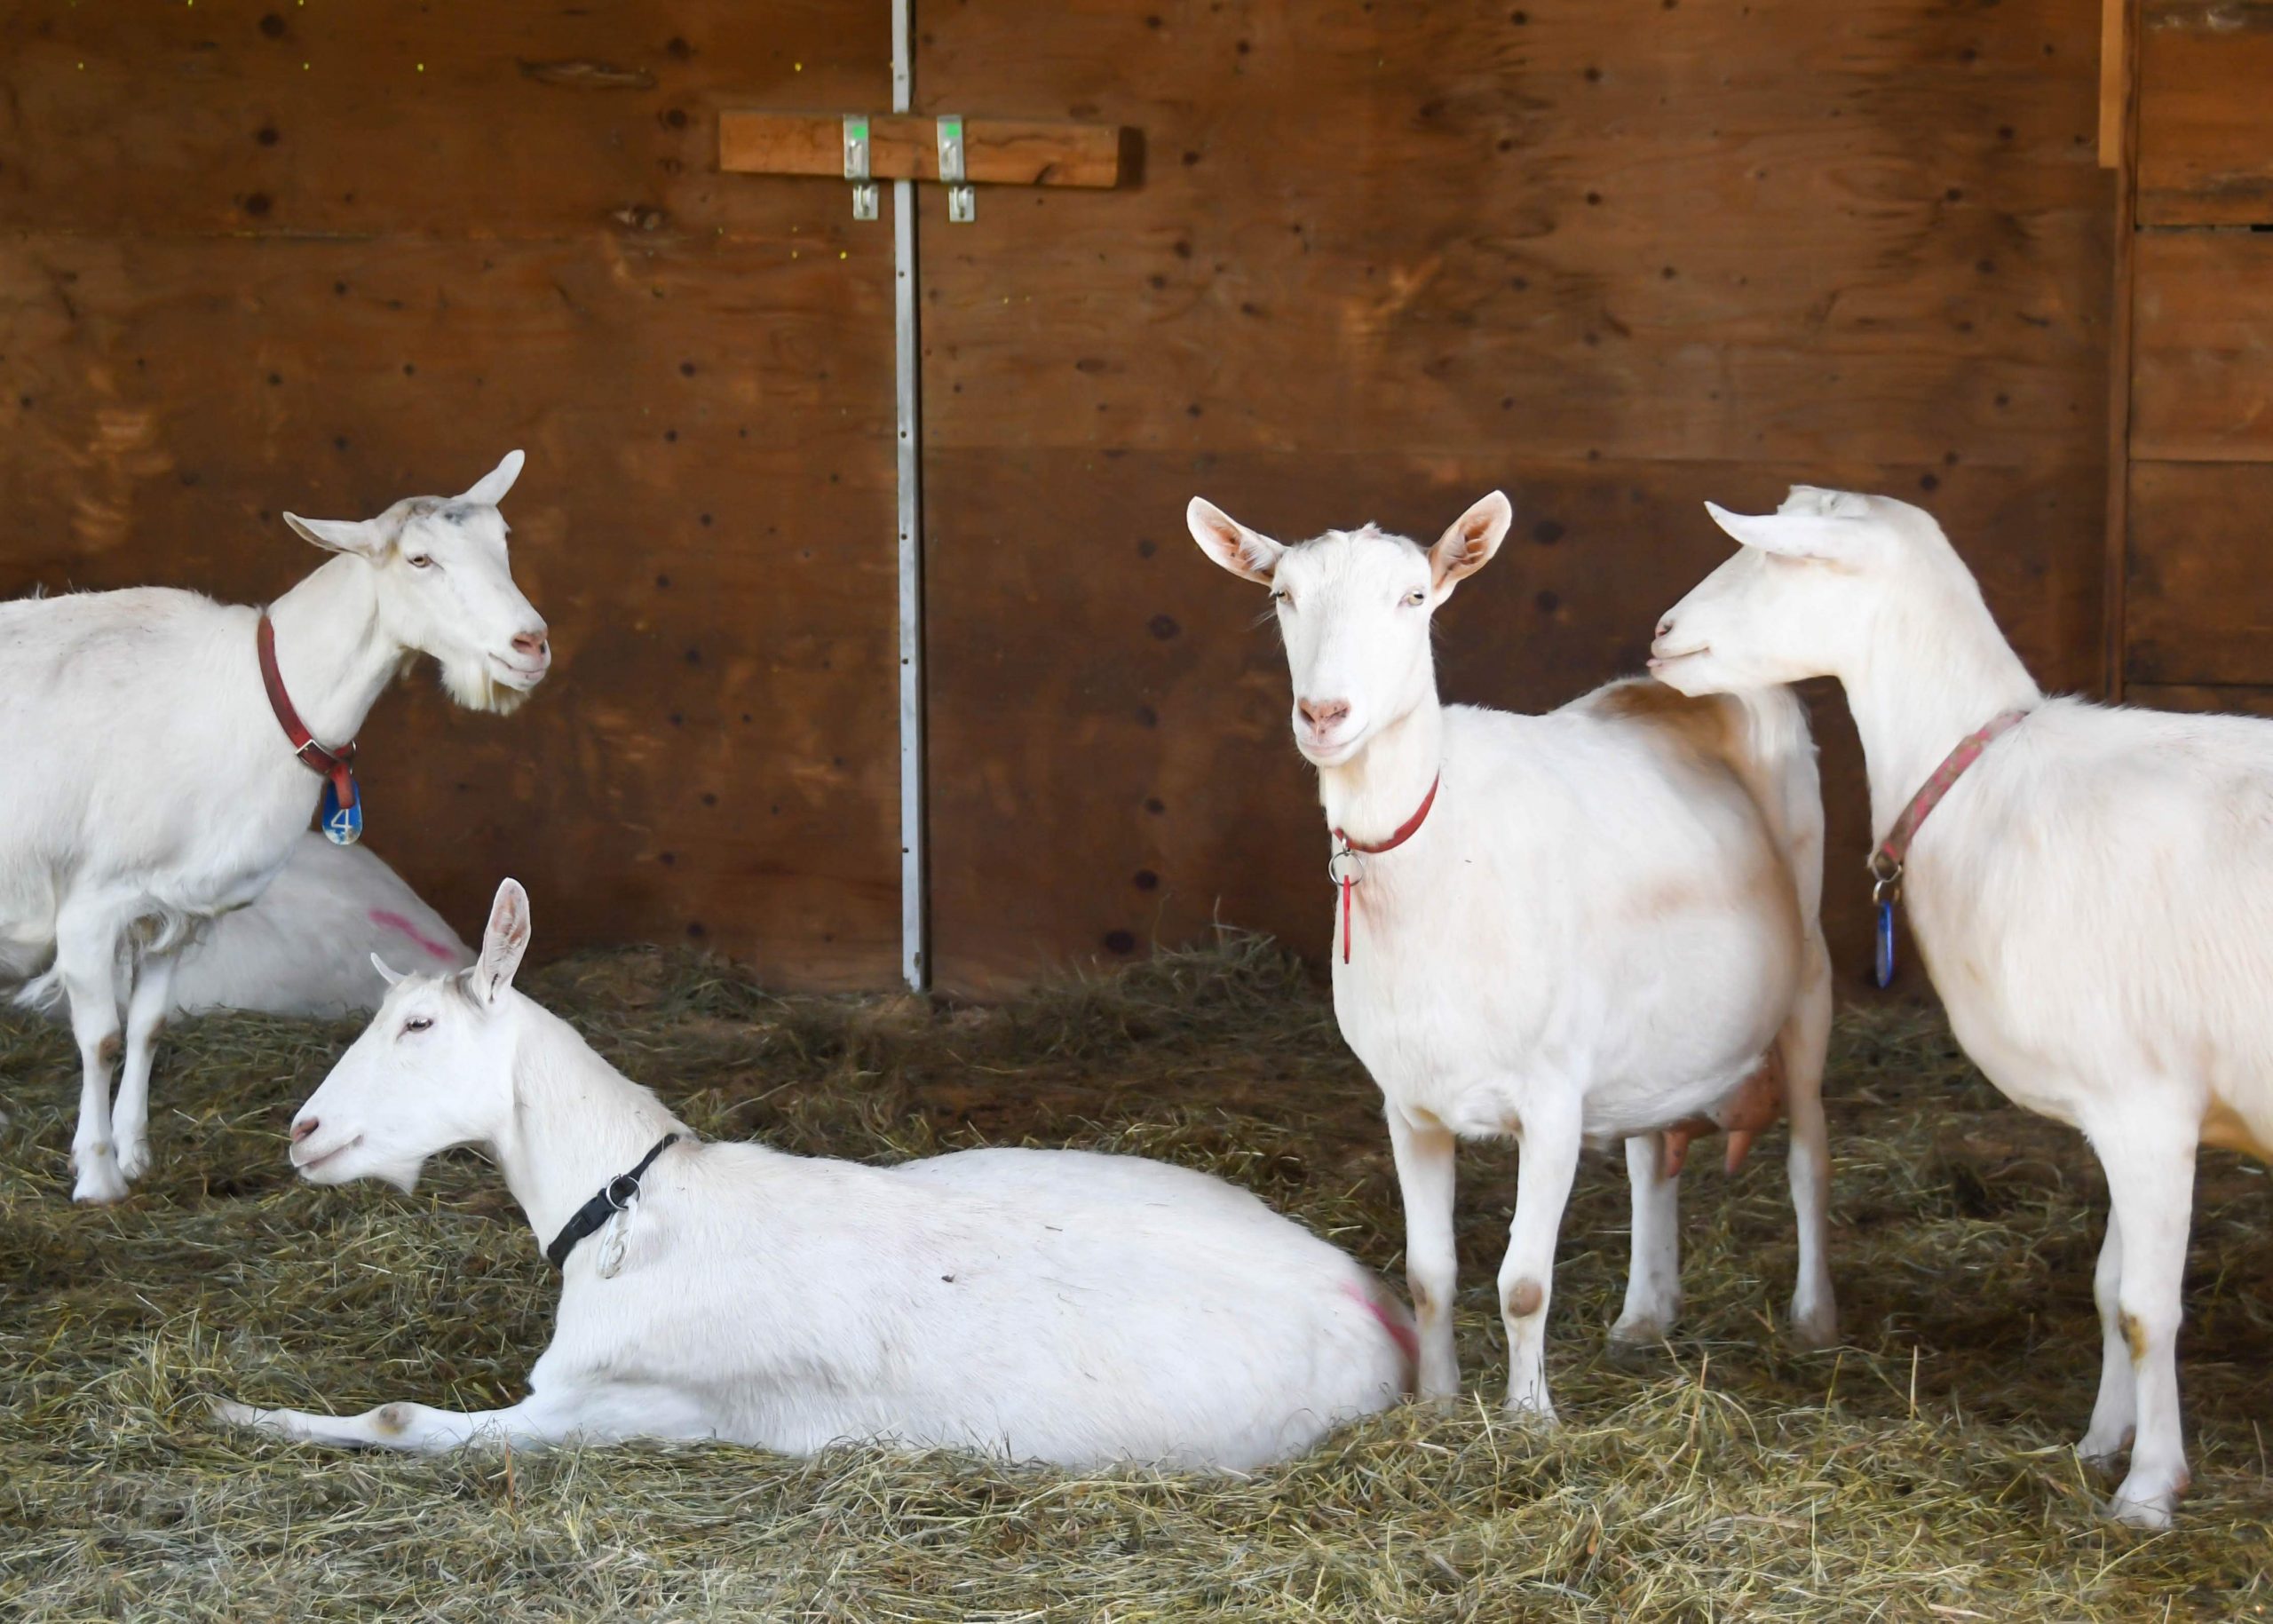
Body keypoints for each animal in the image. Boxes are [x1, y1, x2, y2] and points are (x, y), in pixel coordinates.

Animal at [1, 448, 550, 1192]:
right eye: (419, 559)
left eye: (504, 541)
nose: (531, 644)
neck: (252, 696)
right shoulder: (91, 905)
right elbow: (103, 1038)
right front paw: (98, 1177)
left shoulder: (174, 909)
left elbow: (146, 1029)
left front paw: (136, 1154)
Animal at [217, 877, 1418, 1464]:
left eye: (418, 1023)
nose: (304, 1129)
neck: (636, 1203)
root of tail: (1384, 1310)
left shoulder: (614, 1402)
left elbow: (398, 1420)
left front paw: (244, 1412)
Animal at [1182, 493, 1836, 1419]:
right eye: (1282, 597)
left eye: (1415, 597)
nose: (1325, 715)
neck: (1442, 853)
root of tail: (1673, 685)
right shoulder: (1408, 1101)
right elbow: (1429, 1273)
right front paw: (1437, 1403)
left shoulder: (1552, 1098)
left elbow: (1523, 1283)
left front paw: (1529, 1419)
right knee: (1650, 1154)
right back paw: (1644, 1314)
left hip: (1808, 970)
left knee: (1810, 1148)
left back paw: (1815, 1318)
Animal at [1654, 479, 2273, 1519]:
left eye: (1780, 556)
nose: (1661, 636)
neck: (1987, 782)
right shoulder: (2117, 1104)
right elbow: (2108, 1286)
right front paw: (2099, 1442)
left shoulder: (2149, 1106)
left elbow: (2148, 1306)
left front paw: (2150, 1488)